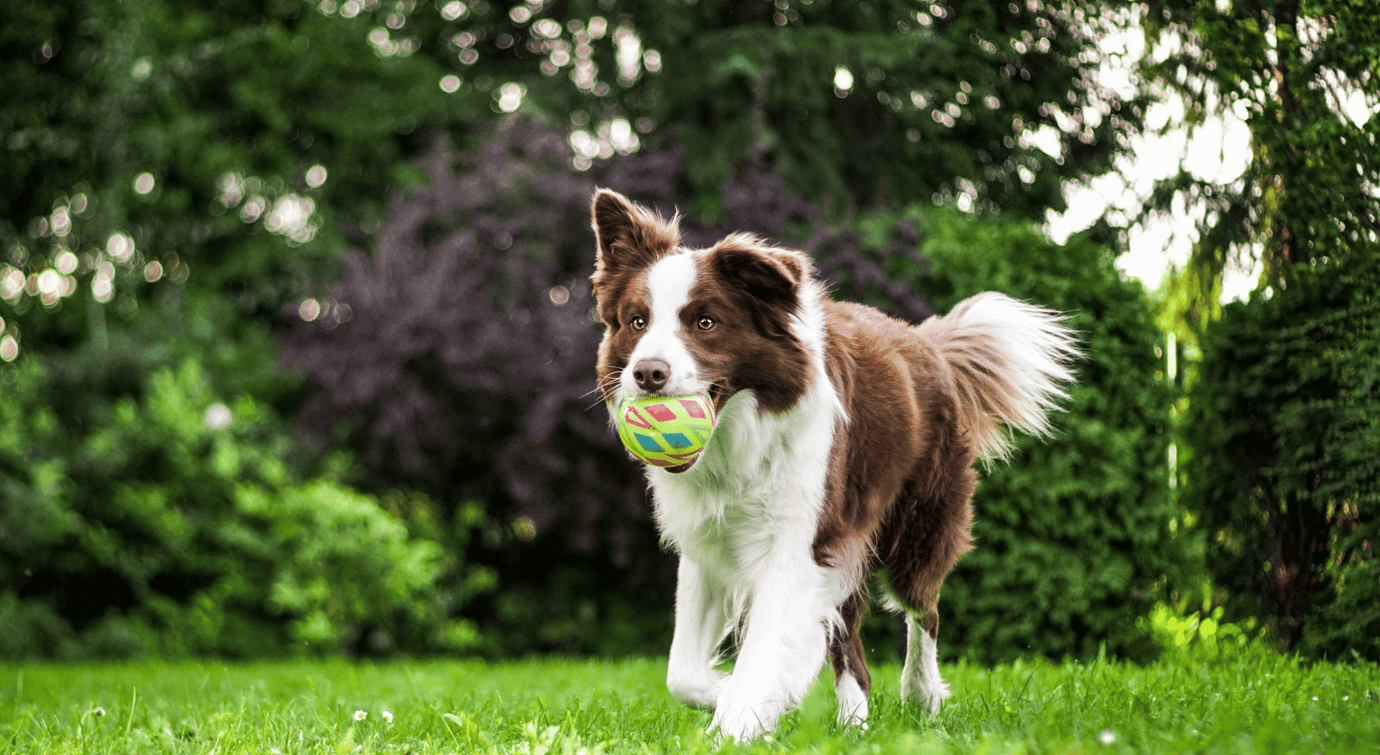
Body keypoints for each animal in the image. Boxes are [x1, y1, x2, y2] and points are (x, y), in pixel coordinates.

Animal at [585, 190, 1076, 745]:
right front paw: (738, 696)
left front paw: (738, 721)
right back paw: (854, 722)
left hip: (917, 527)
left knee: (923, 610)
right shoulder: (710, 543)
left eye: (706, 322)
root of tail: (927, 342)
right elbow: (682, 674)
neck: (739, 436)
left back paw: (922, 696)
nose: (648, 374)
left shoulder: (800, 543)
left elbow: (763, 651)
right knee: (851, 645)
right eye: (636, 322)